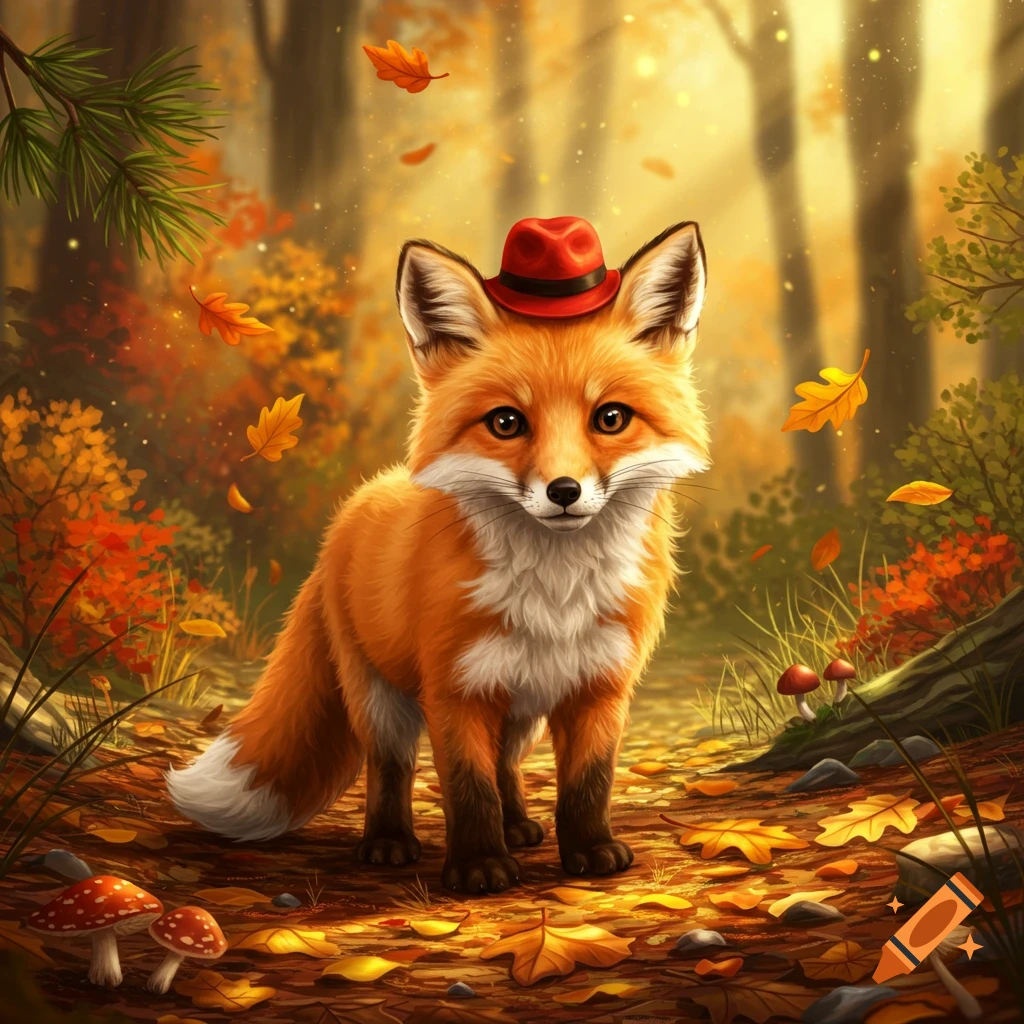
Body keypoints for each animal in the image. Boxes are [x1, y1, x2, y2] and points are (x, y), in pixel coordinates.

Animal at [167, 216, 710, 894]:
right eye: (506, 423)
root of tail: (356, 504)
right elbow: (466, 786)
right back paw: (389, 842)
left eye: (611, 418)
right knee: (391, 768)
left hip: (522, 709)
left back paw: (518, 826)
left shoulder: (599, 686)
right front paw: (478, 865)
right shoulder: (454, 687)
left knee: (506, 765)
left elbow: (587, 783)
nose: (564, 492)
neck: (555, 595)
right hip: (382, 698)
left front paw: (589, 850)